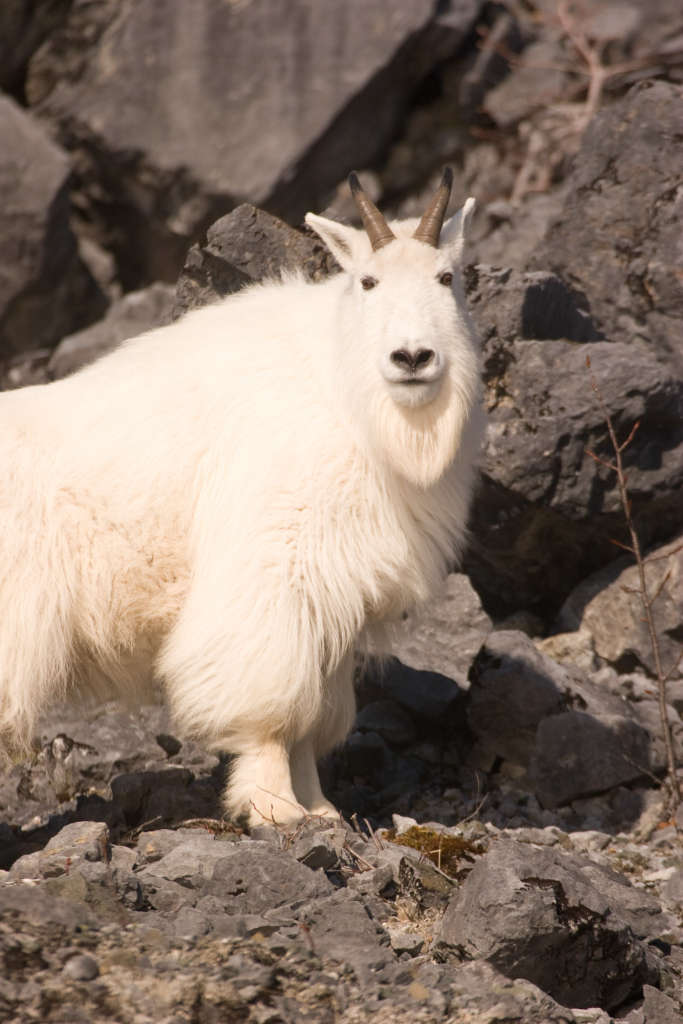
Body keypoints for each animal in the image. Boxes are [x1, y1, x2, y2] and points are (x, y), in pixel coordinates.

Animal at [0, 170, 484, 826]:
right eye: (368, 281)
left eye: (447, 277)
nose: (412, 358)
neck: (344, 394)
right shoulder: (273, 569)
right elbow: (272, 708)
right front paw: (276, 808)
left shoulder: (330, 598)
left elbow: (318, 714)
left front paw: (321, 809)